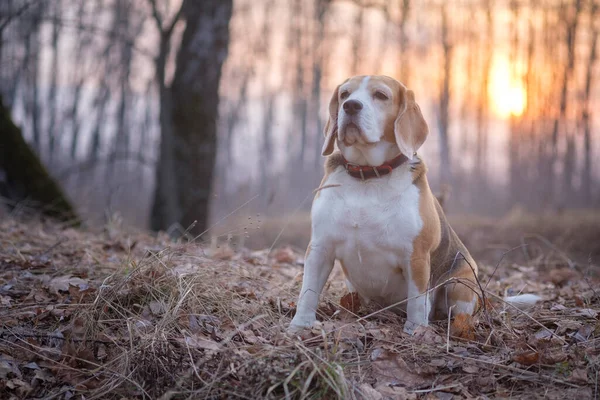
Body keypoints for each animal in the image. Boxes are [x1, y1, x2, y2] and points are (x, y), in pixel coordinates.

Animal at [288, 76, 480, 334]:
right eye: (344, 94)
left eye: (380, 95)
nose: (350, 106)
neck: (368, 176)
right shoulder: (320, 247)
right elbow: (308, 291)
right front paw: (300, 326)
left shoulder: (416, 256)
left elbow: (417, 301)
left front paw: (415, 332)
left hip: (460, 285)